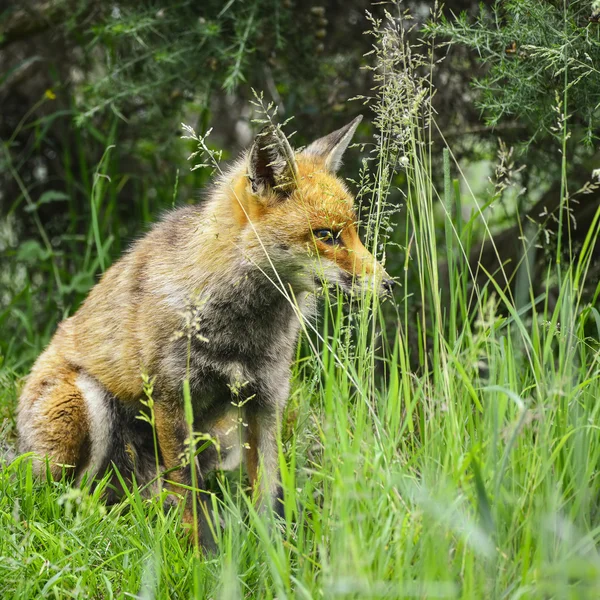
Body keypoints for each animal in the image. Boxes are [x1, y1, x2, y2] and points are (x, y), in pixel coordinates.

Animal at [16, 116, 392, 548]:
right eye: (326, 236)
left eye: (355, 232)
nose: (389, 285)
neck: (241, 332)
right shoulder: (171, 399)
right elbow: (190, 497)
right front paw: (200, 555)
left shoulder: (265, 400)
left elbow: (269, 497)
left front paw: (274, 556)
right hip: (86, 405)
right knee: (60, 498)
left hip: (218, 442)